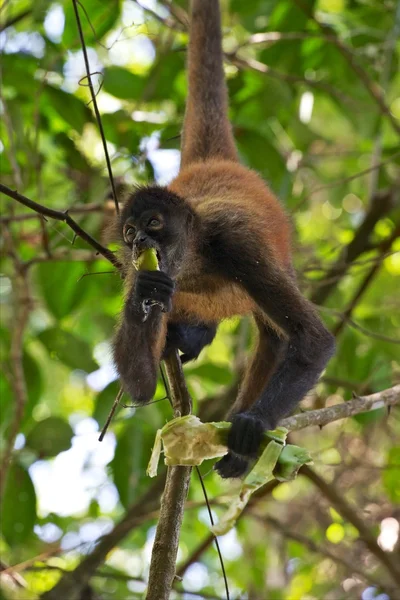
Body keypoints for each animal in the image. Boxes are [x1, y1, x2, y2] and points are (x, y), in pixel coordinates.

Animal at [112, 1, 334, 478]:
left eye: (154, 223)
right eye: (129, 232)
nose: (138, 243)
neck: (195, 259)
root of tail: (213, 165)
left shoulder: (237, 244)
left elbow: (313, 341)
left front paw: (252, 426)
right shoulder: (132, 271)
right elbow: (139, 385)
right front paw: (147, 292)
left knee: (274, 335)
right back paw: (187, 334)